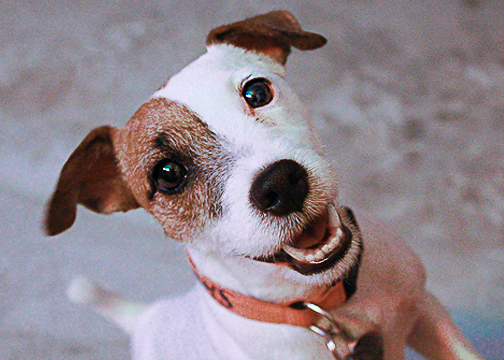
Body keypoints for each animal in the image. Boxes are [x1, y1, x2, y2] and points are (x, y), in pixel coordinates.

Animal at [44, 10, 484, 360]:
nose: (282, 184)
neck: (326, 310)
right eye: (168, 174)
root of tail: (145, 318)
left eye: (257, 91)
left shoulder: (426, 312)